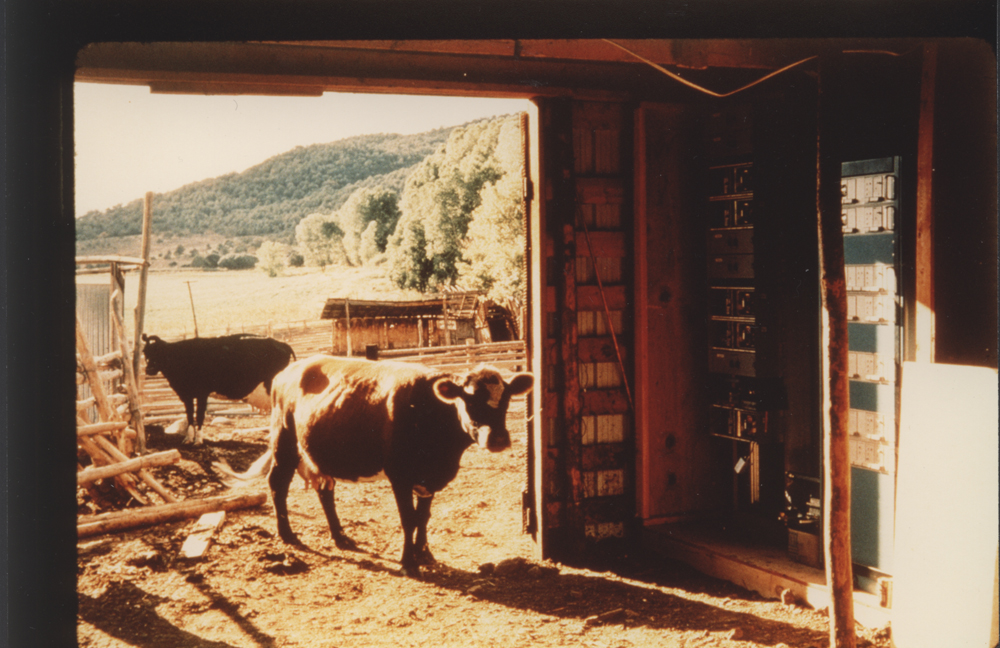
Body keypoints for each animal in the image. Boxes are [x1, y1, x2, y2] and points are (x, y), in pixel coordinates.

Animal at [143, 334, 294, 446]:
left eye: (159, 351)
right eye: (145, 352)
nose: (149, 369)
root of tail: (282, 344)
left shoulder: (202, 393)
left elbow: (199, 416)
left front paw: (198, 440)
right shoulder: (186, 394)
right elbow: (190, 416)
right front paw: (188, 439)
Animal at [219, 354, 532, 576]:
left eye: (506, 398)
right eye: (469, 399)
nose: (498, 439)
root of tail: (290, 369)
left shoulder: (429, 478)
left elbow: (423, 517)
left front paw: (424, 554)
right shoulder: (400, 475)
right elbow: (408, 518)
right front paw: (408, 562)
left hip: (318, 453)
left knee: (325, 491)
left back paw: (340, 537)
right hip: (284, 441)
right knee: (278, 484)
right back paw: (287, 535)